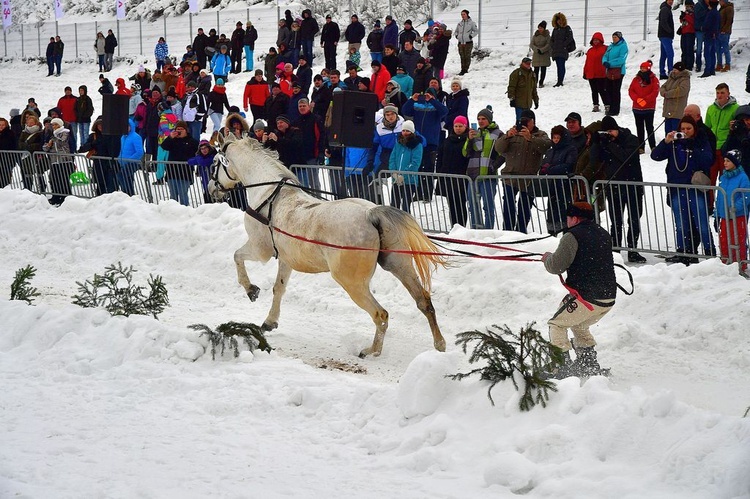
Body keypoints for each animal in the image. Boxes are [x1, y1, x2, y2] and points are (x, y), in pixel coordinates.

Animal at [207, 135, 446, 358]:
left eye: (214, 164)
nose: (211, 189)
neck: (269, 194)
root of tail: (371, 213)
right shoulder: (286, 259)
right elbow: (278, 288)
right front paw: (270, 321)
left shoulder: (260, 250)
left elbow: (237, 256)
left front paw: (251, 290)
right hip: (399, 265)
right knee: (424, 302)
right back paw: (439, 344)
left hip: (351, 282)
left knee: (381, 315)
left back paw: (372, 351)